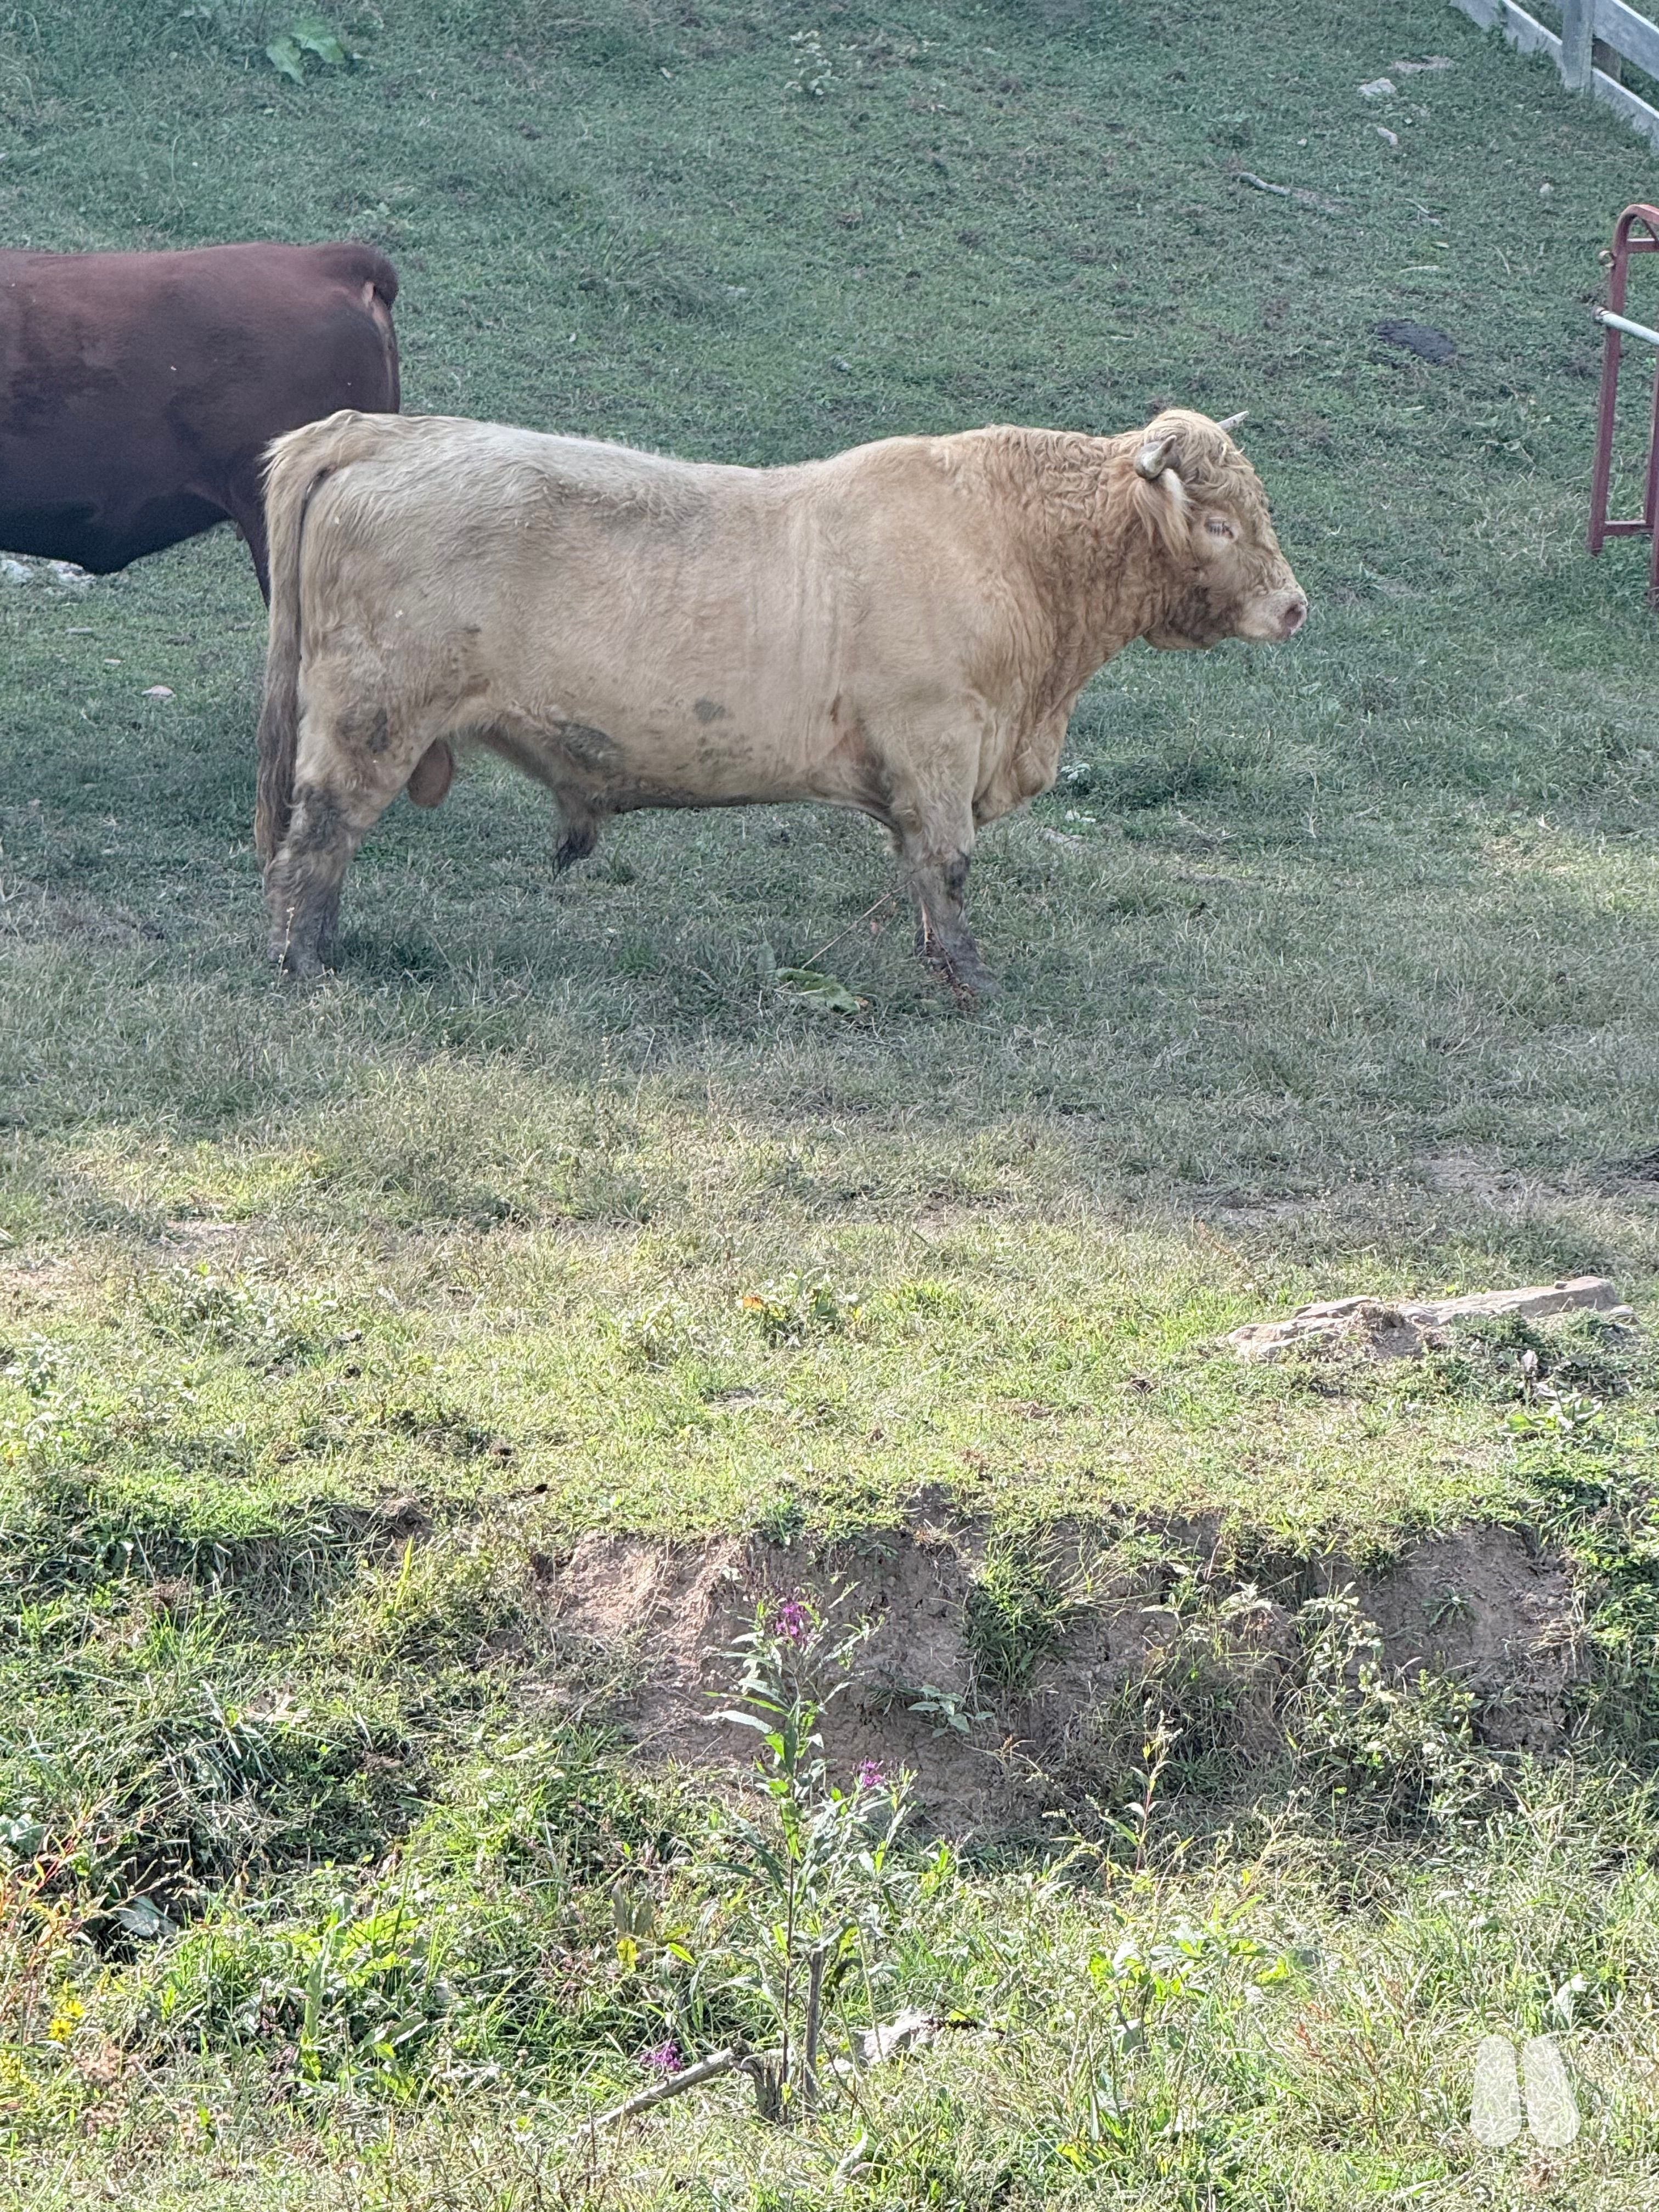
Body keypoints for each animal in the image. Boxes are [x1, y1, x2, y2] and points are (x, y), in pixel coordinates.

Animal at [253, 406, 1307, 995]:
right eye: (1217, 522)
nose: (1294, 605)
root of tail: (375, 430)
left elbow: (920, 872)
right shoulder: (938, 740)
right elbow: (948, 866)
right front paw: (970, 979)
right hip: (369, 718)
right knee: (319, 838)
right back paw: (306, 964)